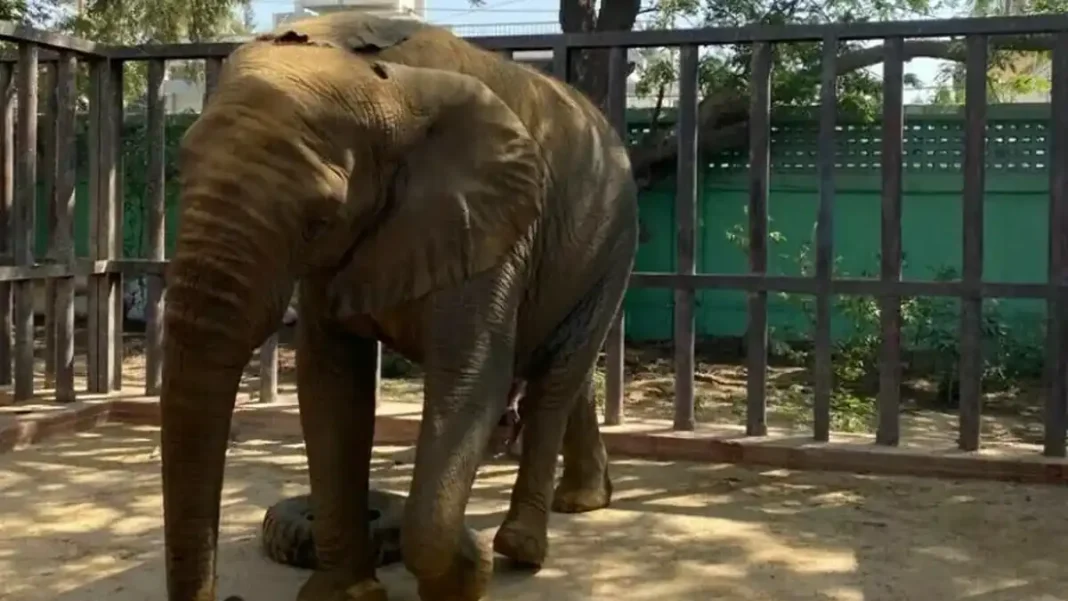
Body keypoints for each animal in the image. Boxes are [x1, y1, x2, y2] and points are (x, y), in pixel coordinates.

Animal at [158, 12, 638, 601]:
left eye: (319, 220)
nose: (223, 592)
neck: (390, 87)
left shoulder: (489, 225)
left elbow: (471, 376)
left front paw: (467, 565)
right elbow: (331, 384)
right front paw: (347, 594)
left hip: (613, 241)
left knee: (556, 380)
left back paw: (520, 547)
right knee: (567, 373)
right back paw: (582, 502)